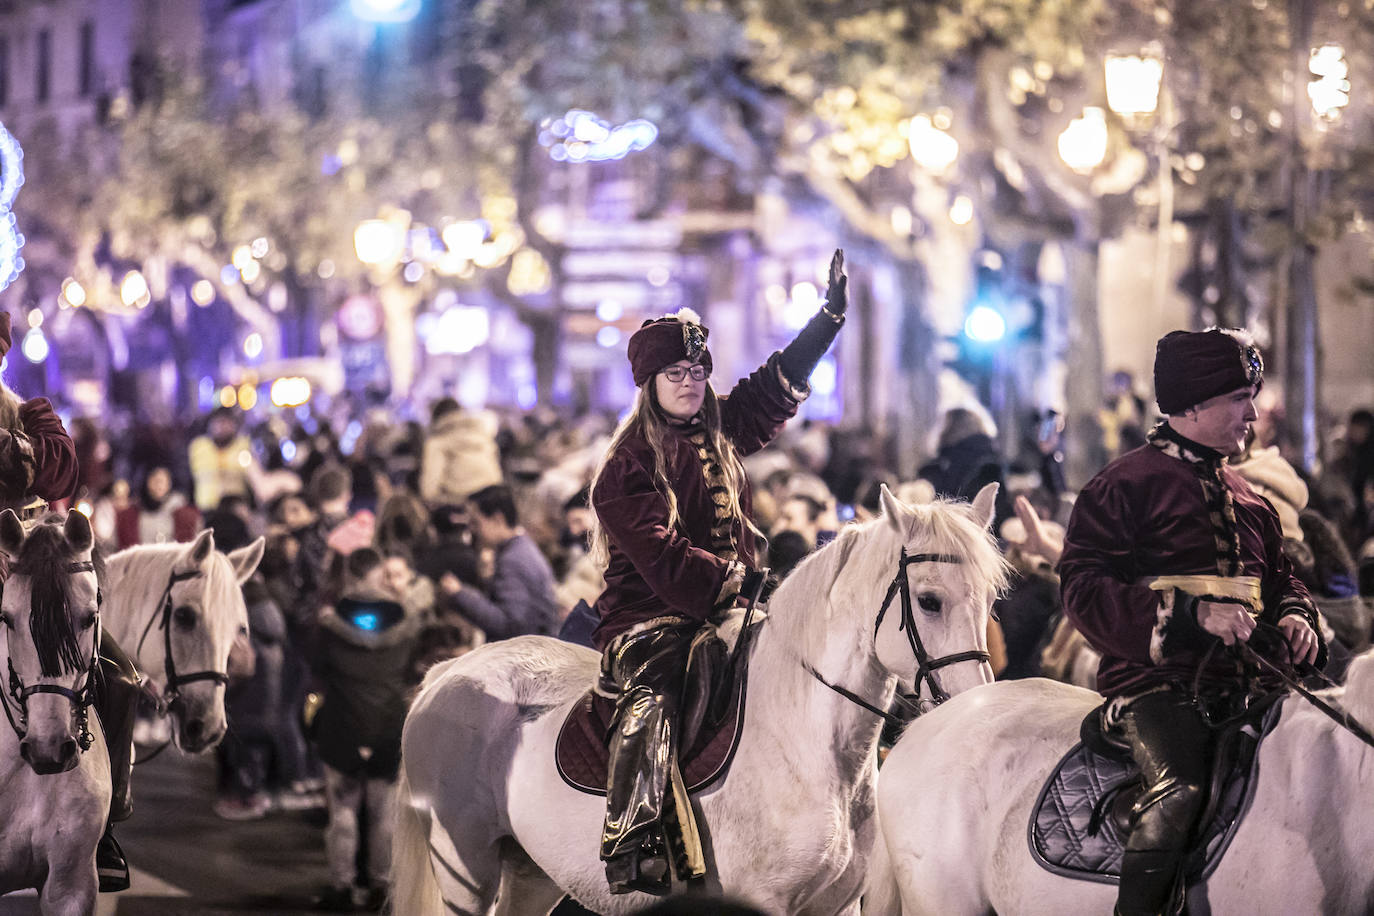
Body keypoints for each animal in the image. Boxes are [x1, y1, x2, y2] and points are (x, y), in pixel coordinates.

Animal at [392, 483, 1005, 911]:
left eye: (991, 598)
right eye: (928, 600)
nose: (972, 704)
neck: (810, 747)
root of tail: (447, 672)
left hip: (529, 872)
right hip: (465, 869)